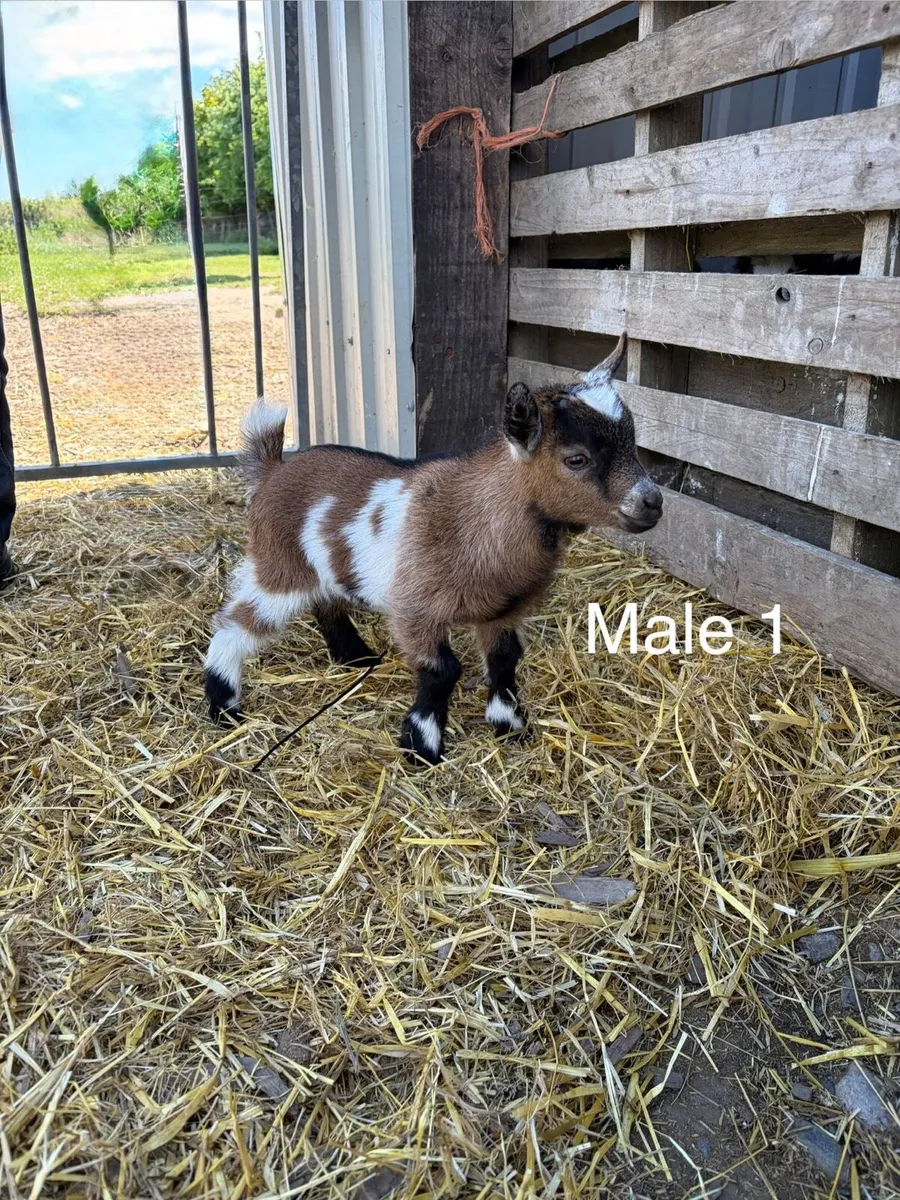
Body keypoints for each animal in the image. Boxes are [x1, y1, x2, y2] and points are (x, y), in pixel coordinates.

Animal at [203, 333, 663, 764]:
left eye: (632, 442)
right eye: (576, 459)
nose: (652, 501)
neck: (475, 519)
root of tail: (271, 470)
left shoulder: (504, 610)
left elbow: (505, 660)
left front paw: (509, 726)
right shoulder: (415, 610)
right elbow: (443, 670)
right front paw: (422, 745)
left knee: (325, 602)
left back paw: (355, 658)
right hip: (279, 565)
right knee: (234, 622)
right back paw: (225, 706)